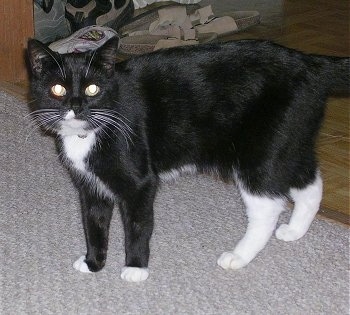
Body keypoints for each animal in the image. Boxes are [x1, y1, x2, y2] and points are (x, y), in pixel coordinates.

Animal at [26, 38, 348, 282]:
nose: (76, 106)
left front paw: (135, 268)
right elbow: (93, 223)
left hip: (260, 151)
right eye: (58, 89)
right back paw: (294, 231)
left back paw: (239, 256)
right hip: (289, 140)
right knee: (309, 182)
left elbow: (138, 225)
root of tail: (310, 63)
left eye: (92, 88)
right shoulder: (90, 184)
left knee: (267, 206)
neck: (89, 134)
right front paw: (93, 263)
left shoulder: (140, 183)